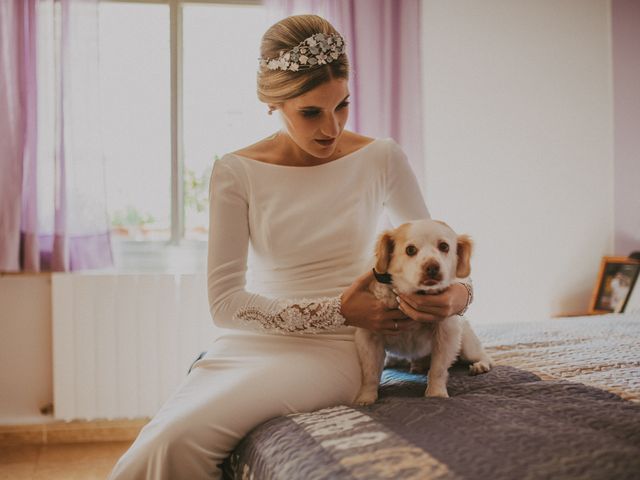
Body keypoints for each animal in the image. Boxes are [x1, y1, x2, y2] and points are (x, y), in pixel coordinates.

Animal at [352, 219, 492, 404]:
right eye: (410, 250)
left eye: (444, 246)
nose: (432, 267)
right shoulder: (368, 336)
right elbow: (370, 373)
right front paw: (366, 397)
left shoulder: (446, 334)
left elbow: (438, 369)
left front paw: (436, 393)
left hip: (467, 346)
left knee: (485, 356)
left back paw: (480, 365)